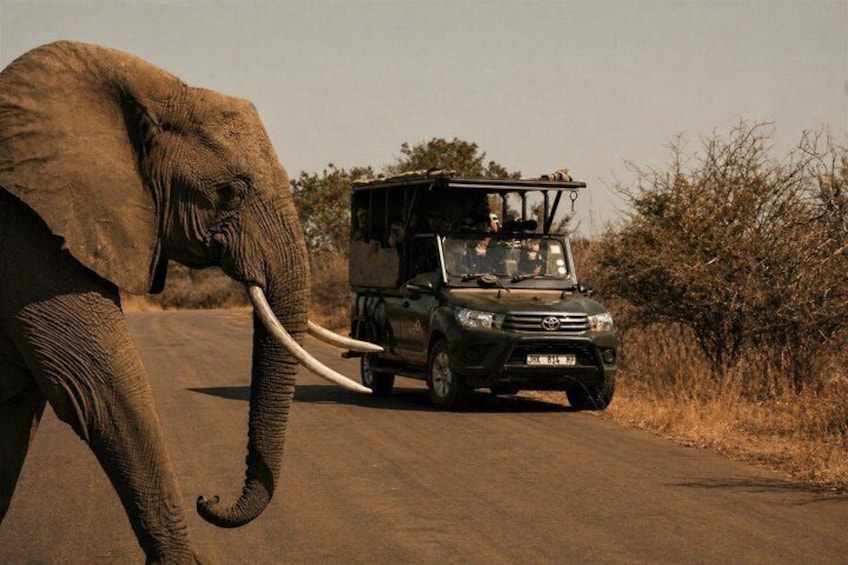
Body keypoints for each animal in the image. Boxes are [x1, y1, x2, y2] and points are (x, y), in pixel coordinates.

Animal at [0, 41, 378, 563]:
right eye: (231, 192)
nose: (209, 498)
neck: (153, 88)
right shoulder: (29, 230)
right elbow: (100, 386)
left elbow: (19, 410)